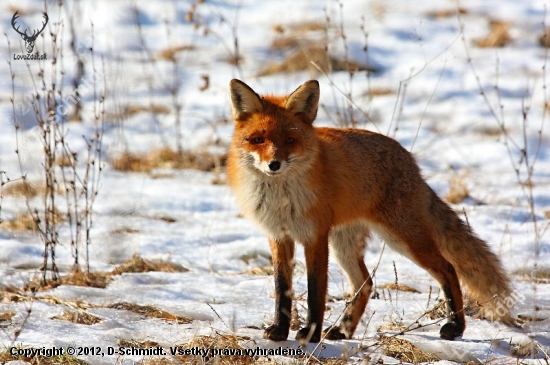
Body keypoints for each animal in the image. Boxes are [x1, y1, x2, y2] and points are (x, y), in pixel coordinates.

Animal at [226, 79, 516, 342]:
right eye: (257, 139)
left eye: (290, 140)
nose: (274, 164)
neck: (282, 200)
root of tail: (411, 161)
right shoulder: (278, 236)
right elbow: (281, 288)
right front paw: (279, 330)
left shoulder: (314, 236)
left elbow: (315, 291)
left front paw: (310, 334)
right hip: (344, 245)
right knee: (365, 283)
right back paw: (343, 330)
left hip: (403, 239)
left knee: (448, 268)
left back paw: (456, 327)